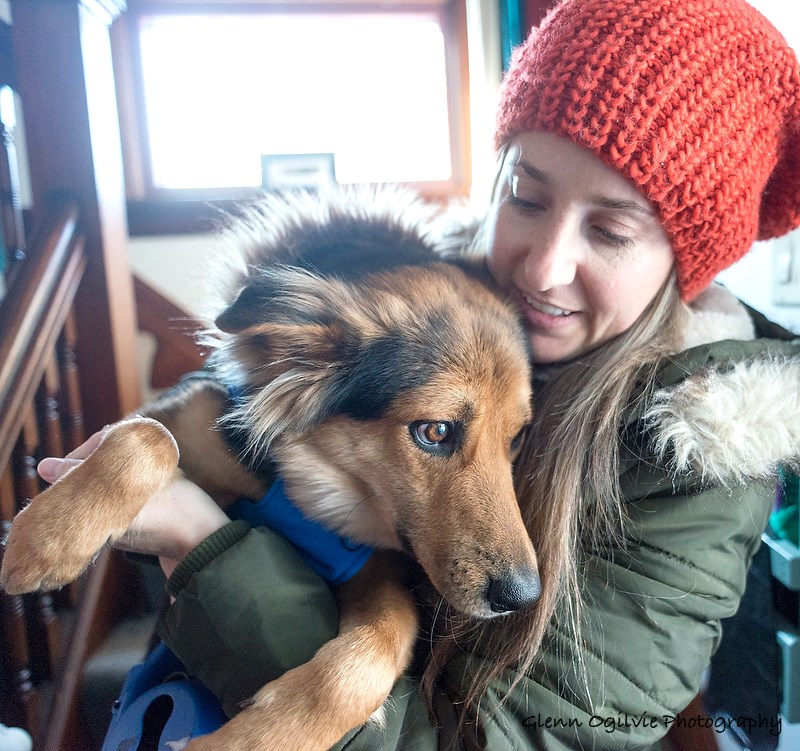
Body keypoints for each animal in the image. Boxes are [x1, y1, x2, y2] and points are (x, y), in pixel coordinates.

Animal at [0, 187, 540, 751]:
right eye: (434, 431)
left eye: (516, 438)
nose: (523, 597)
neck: (322, 481)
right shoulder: (176, 411)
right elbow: (148, 435)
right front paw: (49, 539)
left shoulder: (374, 569)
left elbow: (374, 654)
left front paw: (254, 738)